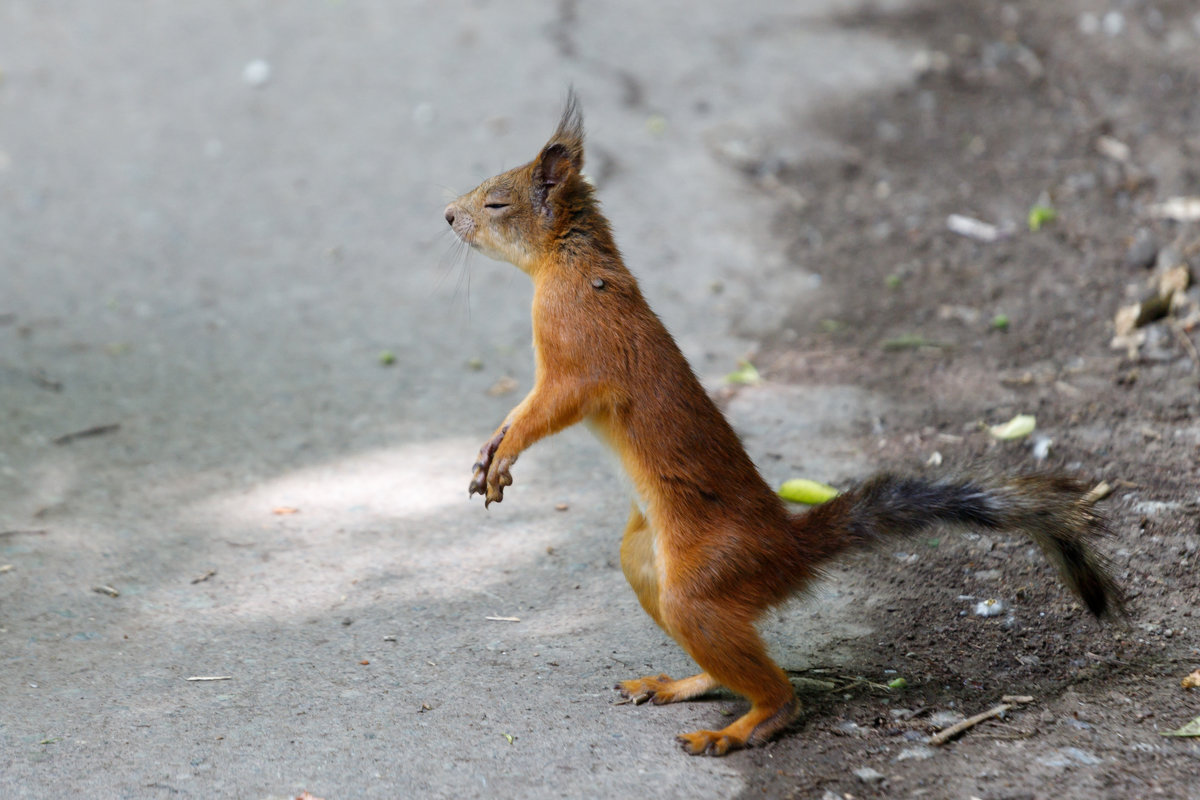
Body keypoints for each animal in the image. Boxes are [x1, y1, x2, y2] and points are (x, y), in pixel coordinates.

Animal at [444, 94, 1123, 758]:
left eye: (497, 201)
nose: (448, 216)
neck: (569, 261)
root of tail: (786, 550)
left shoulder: (578, 353)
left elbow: (547, 409)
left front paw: (505, 454)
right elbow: (519, 411)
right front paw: (488, 451)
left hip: (699, 583)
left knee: (778, 694)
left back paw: (739, 729)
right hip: (645, 560)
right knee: (724, 659)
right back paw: (681, 684)